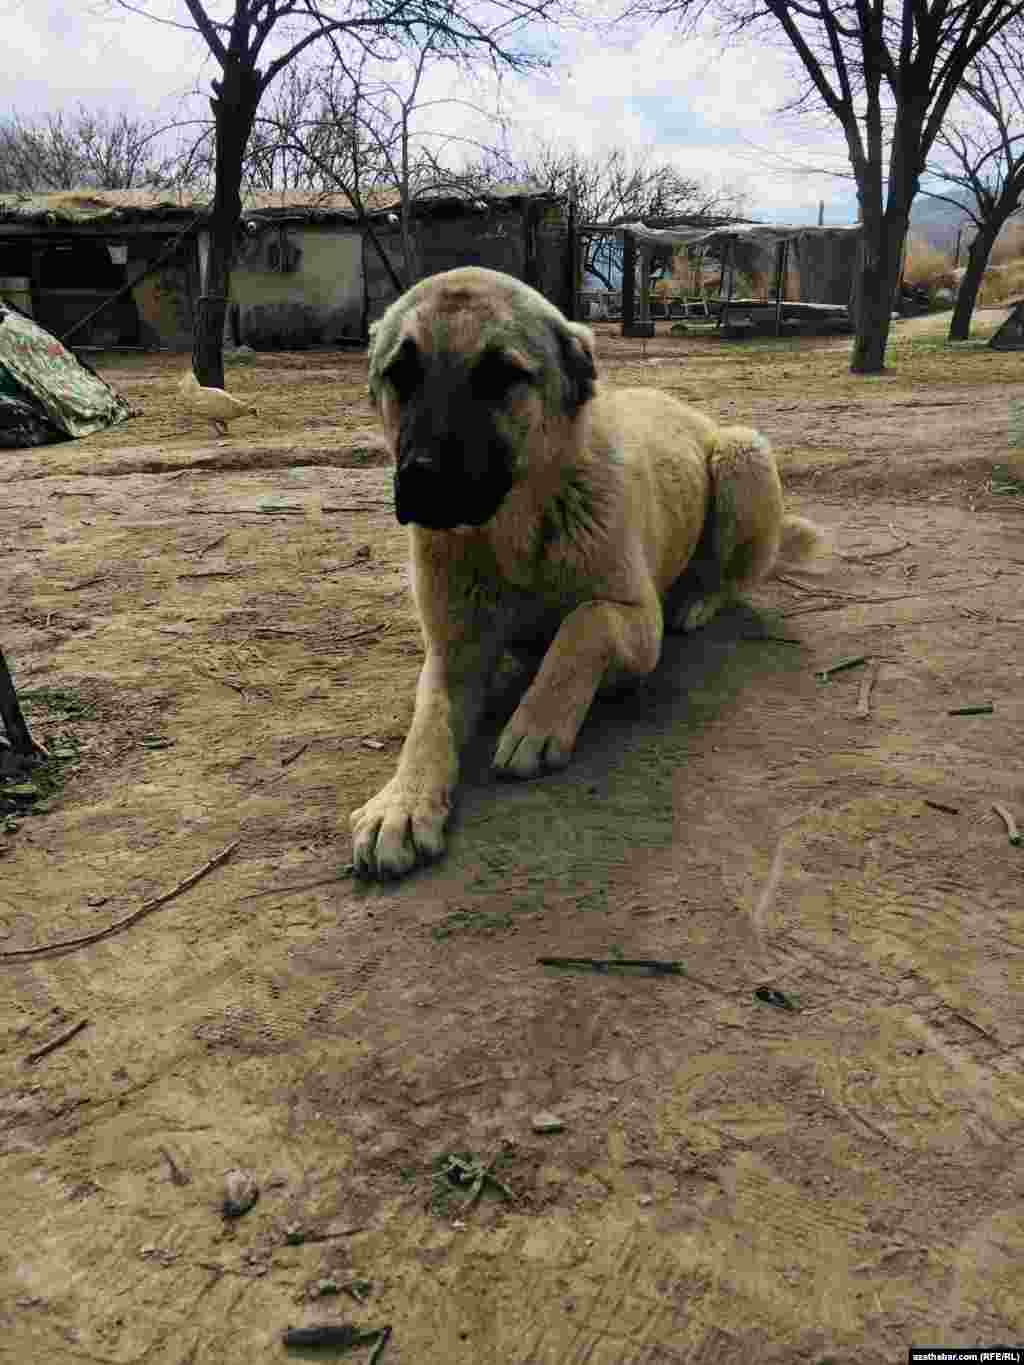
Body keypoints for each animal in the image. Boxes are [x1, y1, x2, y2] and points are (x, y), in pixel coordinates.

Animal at [352, 271, 819, 879]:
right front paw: (402, 802)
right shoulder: (453, 651)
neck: (515, 531)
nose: (421, 480)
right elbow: (428, 721)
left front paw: (537, 721)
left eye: (501, 375)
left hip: (744, 453)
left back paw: (697, 599)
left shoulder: (638, 622)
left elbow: (583, 623)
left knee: (729, 577)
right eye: (401, 373)